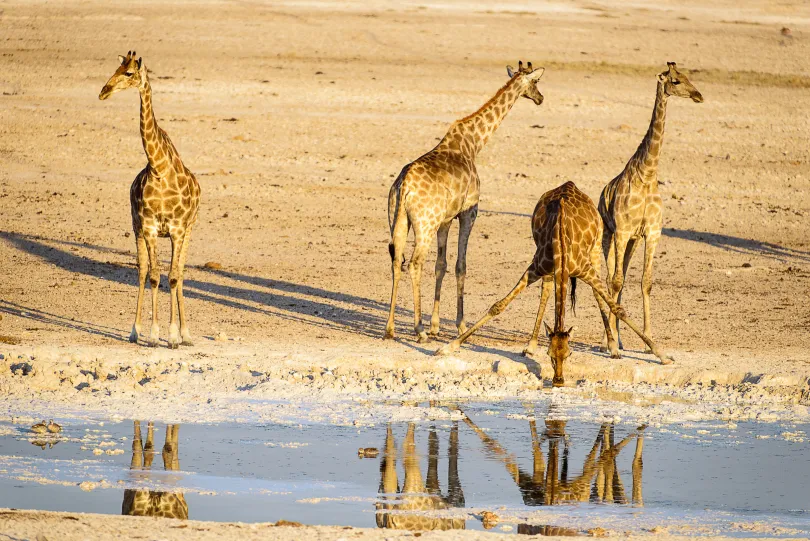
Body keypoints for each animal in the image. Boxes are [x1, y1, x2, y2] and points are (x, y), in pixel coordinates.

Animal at [98, 52, 201, 348]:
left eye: (129, 73)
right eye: (117, 68)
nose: (103, 91)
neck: (159, 167)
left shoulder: (177, 229)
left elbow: (174, 276)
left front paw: (175, 336)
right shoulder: (150, 227)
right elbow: (154, 276)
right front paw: (155, 335)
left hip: (190, 230)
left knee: (181, 272)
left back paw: (187, 334)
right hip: (136, 228)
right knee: (142, 271)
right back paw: (135, 331)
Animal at [384, 61, 544, 342]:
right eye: (535, 82)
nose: (540, 98)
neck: (473, 144)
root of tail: (403, 187)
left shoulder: (446, 220)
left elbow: (441, 265)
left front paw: (436, 326)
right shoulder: (470, 212)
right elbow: (461, 265)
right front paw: (458, 325)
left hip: (399, 220)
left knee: (397, 262)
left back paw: (390, 329)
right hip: (424, 225)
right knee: (414, 264)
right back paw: (418, 330)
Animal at [436, 181, 668, 384]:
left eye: (570, 353)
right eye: (549, 353)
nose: (558, 380)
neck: (562, 247)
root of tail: (570, 183)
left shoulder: (584, 270)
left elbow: (618, 309)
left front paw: (661, 355)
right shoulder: (536, 267)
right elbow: (498, 306)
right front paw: (448, 346)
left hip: (595, 249)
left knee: (598, 294)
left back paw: (612, 347)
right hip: (547, 264)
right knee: (547, 289)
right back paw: (530, 345)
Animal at [596, 62, 704, 350]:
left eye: (688, 76)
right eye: (675, 81)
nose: (698, 96)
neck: (646, 175)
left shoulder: (652, 233)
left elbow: (645, 282)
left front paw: (648, 339)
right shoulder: (622, 231)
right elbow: (615, 280)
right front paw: (612, 343)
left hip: (632, 241)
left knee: (620, 280)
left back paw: (620, 338)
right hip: (609, 236)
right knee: (611, 279)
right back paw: (608, 340)